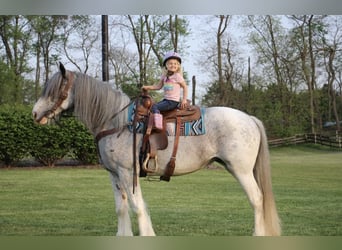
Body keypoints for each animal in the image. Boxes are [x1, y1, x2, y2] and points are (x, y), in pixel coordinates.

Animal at [31, 63, 280, 236]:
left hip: (241, 170)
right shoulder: (115, 175)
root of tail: (249, 118)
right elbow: (121, 208)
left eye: (54, 91)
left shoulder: (128, 173)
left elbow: (137, 207)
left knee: (257, 199)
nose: (34, 113)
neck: (115, 121)